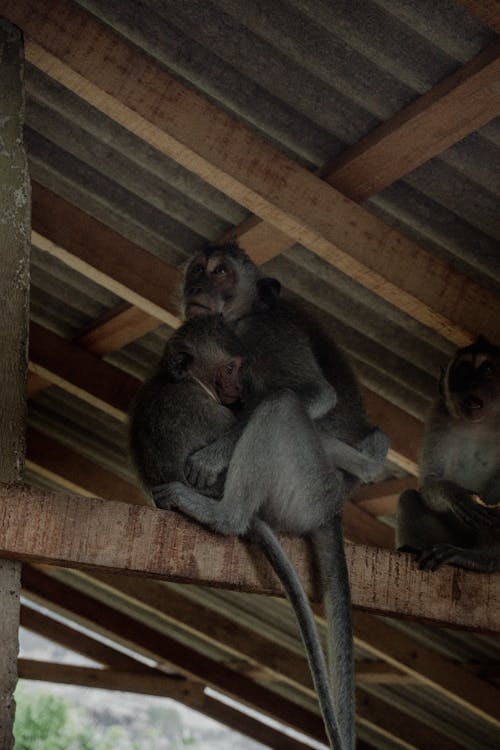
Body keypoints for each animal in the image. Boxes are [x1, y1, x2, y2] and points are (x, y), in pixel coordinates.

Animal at [131, 314, 350, 748]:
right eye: (229, 369)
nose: (236, 388)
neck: (176, 380)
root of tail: (329, 508)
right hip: (306, 494)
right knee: (282, 406)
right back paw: (226, 515)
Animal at [153, 241, 390, 750]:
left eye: (221, 272)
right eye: (198, 270)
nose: (199, 285)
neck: (243, 315)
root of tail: (334, 508)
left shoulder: (263, 336)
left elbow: (313, 394)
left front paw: (216, 452)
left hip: (308, 486)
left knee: (282, 407)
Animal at [398, 338, 500, 572]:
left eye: (487, 369)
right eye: (464, 370)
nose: (471, 383)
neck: (482, 425)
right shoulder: (439, 416)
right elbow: (430, 480)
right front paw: (454, 494)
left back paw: (483, 560)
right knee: (408, 498)